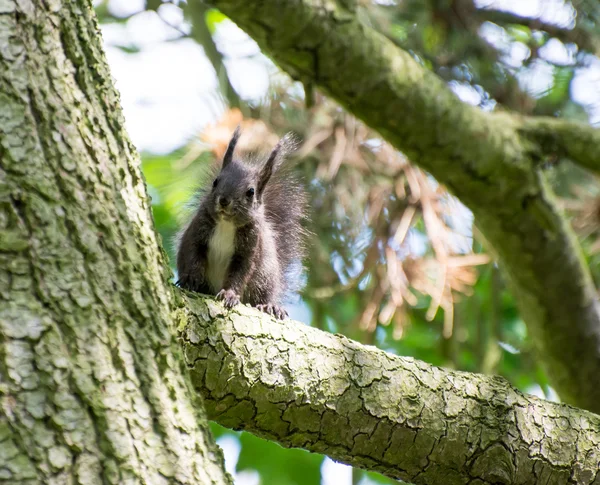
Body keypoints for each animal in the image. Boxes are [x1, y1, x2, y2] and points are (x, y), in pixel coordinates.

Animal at [173, 126, 304, 320]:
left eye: (251, 192)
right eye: (216, 181)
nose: (224, 200)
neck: (226, 224)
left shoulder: (249, 248)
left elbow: (240, 273)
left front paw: (229, 294)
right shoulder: (198, 230)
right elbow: (193, 253)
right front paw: (191, 279)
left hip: (265, 276)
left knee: (264, 294)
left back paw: (271, 306)